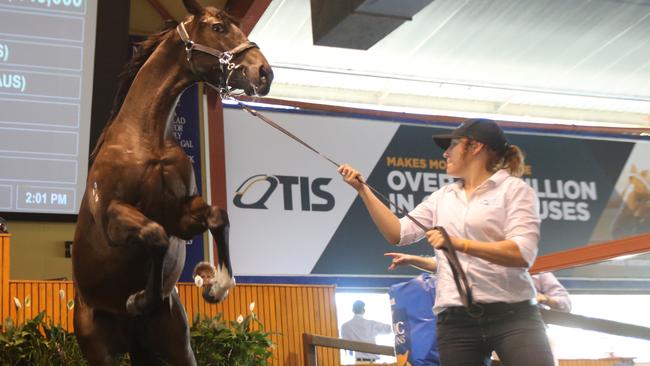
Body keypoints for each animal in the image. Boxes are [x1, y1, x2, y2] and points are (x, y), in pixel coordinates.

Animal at [70, 1, 270, 364]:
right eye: (218, 28)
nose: (264, 73)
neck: (148, 140)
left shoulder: (182, 216)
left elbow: (217, 217)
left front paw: (216, 286)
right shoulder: (112, 218)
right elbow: (155, 234)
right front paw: (138, 300)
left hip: (174, 345)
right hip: (98, 350)